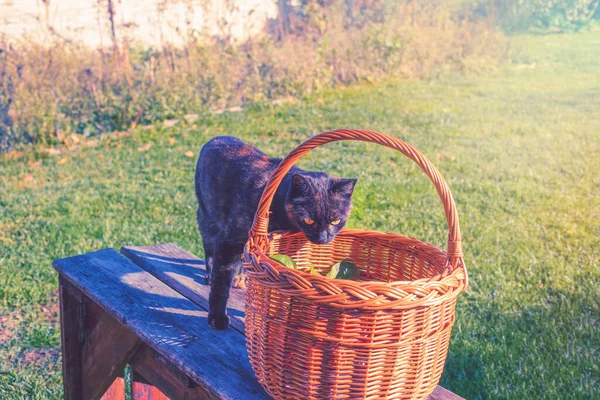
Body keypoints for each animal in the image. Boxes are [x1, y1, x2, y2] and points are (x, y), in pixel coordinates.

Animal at [196, 136, 356, 330]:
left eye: (335, 221)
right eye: (309, 220)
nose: (323, 238)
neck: (277, 202)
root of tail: (217, 137)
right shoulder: (229, 240)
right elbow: (222, 281)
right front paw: (217, 317)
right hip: (206, 218)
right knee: (209, 250)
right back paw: (210, 275)